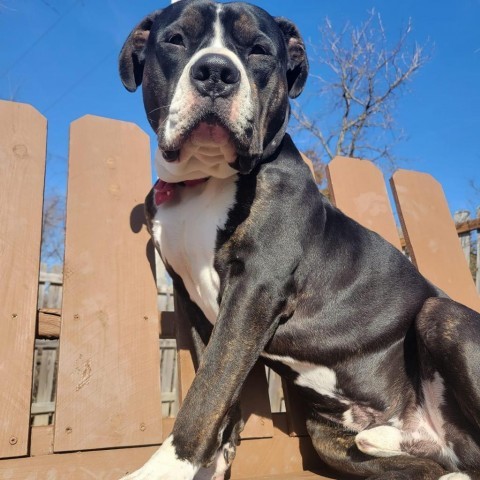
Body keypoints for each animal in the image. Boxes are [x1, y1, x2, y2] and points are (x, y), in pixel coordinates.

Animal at [117, 0, 480, 480]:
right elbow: (217, 385)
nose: (215, 72)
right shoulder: (193, 302)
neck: (205, 180)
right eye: (175, 40)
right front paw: (212, 462)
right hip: (332, 439)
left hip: (441, 313)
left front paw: (165, 468)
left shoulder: (255, 287)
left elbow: (206, 391)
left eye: (259, 50)